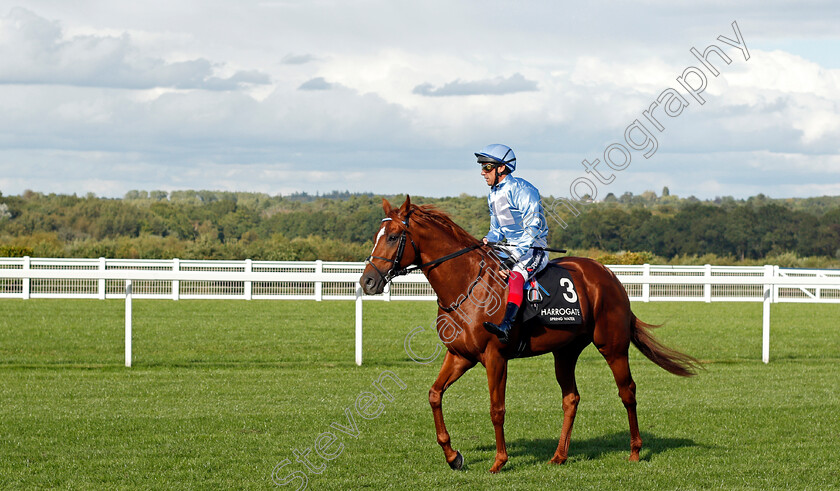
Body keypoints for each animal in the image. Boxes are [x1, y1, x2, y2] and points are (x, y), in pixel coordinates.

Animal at [358, 196, 700, 472]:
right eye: (376, 237)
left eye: (393, 237)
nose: (367, 282)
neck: (467, 286)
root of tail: (609, 276)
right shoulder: (460, 355)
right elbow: (434, 394)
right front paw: (453, 456)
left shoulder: (495, 357)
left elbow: (496, 409)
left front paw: (499, 461)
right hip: (565, 351)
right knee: (571, 398)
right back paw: (559, 456)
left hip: (613, 346)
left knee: (627, 392)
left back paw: (635, 451)